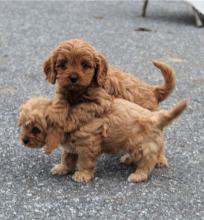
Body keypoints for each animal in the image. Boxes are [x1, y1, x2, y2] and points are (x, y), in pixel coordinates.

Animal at [17, 97, 186, 183]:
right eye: (24, 126)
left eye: (36, 129)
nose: (24, 140)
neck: (70, 118)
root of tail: (155, 116)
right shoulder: (71, 146)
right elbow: (67, 158)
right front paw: (63, 168)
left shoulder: (88, 145)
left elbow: (85, 162)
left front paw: (82, 175)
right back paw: (129, 159)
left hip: (143, 146)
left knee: (147, 163)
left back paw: (139, 175)